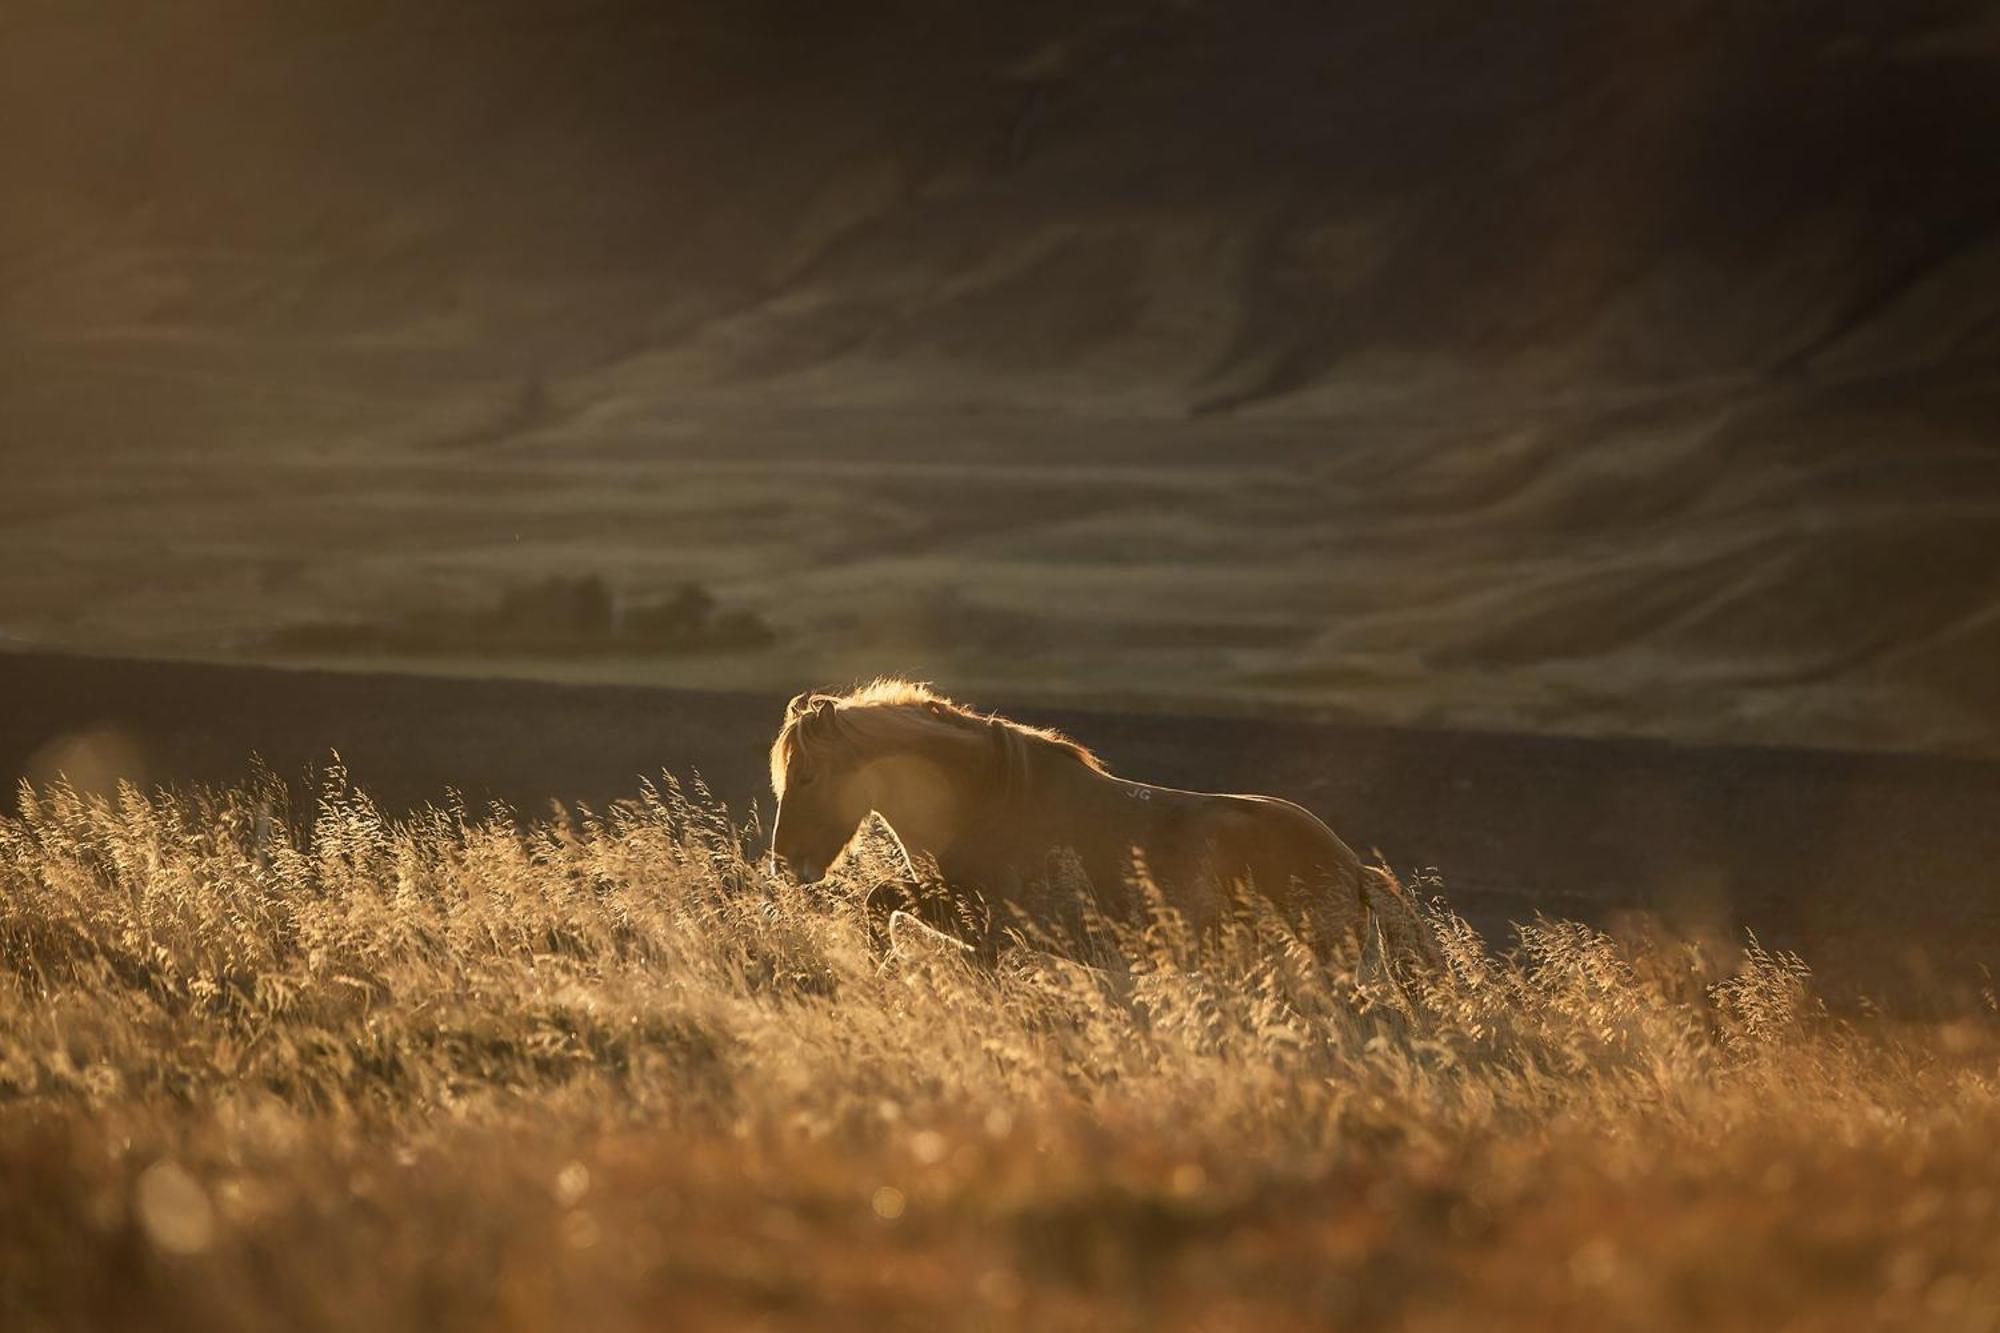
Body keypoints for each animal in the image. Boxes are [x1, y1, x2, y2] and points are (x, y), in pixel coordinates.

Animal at [764, 676, 1440, 964]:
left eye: (809, 776)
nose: (788, 862)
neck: (988, 803)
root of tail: (1350, 866)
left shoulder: (993, 932)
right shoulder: (957, 914)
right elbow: (880, 899)